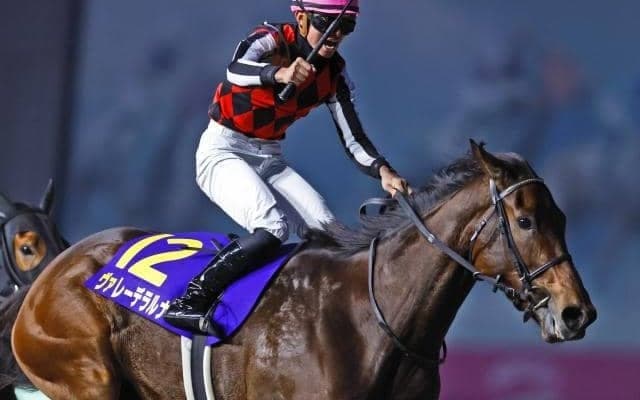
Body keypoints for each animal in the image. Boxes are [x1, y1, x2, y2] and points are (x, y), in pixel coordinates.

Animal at [11, 141, 596, 399]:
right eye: (525, 220)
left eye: (564, 218)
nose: (577, 313)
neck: (375, 320)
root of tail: (54, 270)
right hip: (86, 377)